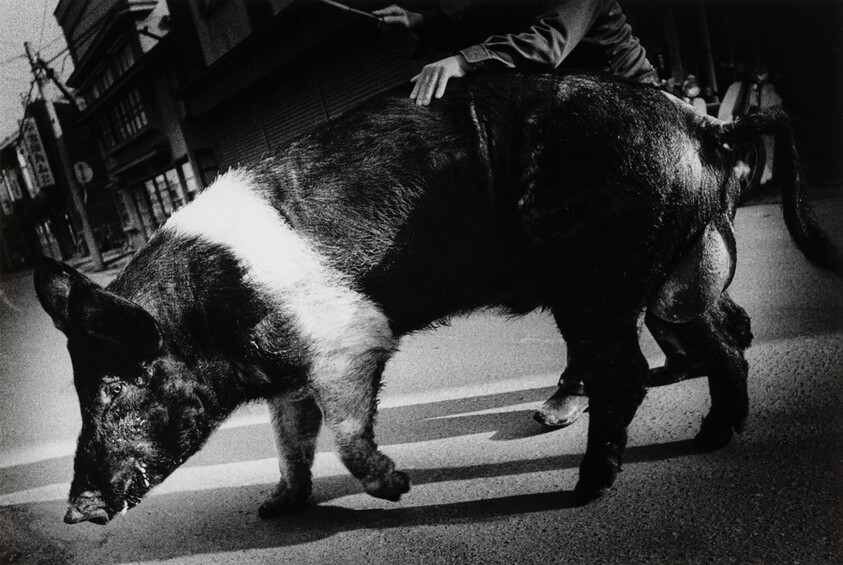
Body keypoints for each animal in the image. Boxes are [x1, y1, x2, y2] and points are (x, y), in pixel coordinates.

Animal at [34, 71, 839, 525]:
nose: (75, 511)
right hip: (677, 272)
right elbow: (291, 439)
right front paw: (274, 507)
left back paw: (583, 488)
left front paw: (397, 487)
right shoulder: (288, 373)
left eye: (114, 389)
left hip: (596, 275)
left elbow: (345, 429)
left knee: (628, 375)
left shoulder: (351, 337)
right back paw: (711, 437)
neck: (216, 316)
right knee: (724, 341)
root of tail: (702, 124)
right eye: (79, 390)